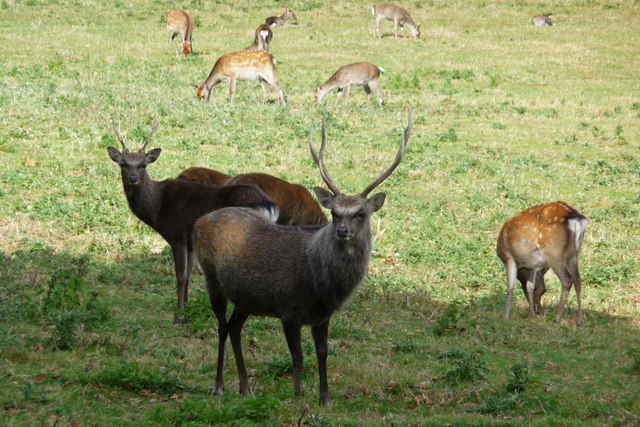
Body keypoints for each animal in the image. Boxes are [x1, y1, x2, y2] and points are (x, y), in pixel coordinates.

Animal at [106, 116, 278, 324]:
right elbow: (187, 277)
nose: (132, 178)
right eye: (123, 164)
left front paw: (178, 317)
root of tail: (268, 205)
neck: (158, 208)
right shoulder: (189, 243)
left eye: (143, 165)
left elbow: (180, 276)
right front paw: (186, 313)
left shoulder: (177, 236)